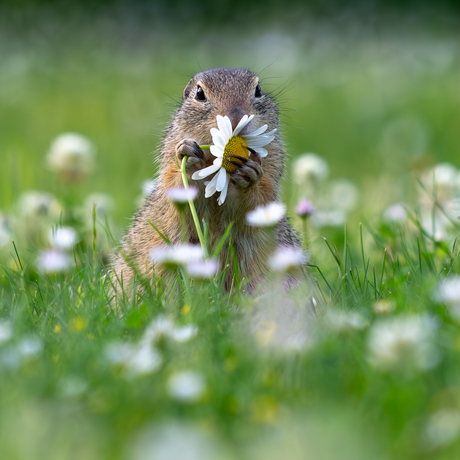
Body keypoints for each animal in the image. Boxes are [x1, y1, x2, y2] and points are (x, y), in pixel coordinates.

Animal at [112, 67, 302, 296]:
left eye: (258, 90)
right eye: (200, 93)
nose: (237, 118)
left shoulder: (272, 166)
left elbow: (261, 198)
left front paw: (250, 175)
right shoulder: (169, 166)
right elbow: (176, 193)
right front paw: (188, 156)